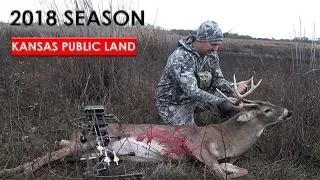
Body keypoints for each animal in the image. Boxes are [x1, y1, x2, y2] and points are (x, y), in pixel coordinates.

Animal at [0, 75, 292, 179]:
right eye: (266, 110)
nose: (288, 112)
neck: (226, 138)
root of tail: (77, 133)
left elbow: (239, 170)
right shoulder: (196, 146)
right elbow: (221, 174)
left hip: (86, 150)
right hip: (90, 141)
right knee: (41, 158)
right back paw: (10, 170)